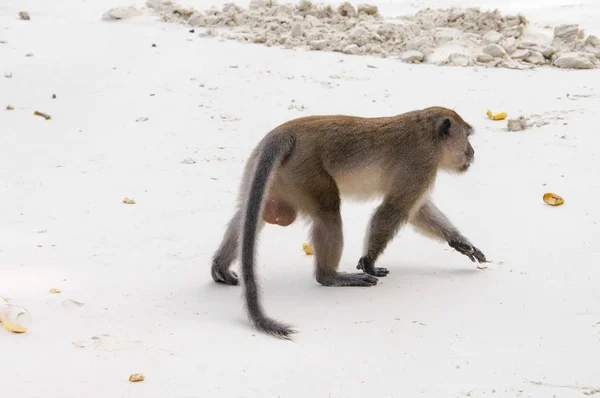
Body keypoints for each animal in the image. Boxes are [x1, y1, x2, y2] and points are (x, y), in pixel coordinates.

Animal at [211, 107, 488, 340]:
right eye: (467, 137)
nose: (472, 152)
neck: (429, 135)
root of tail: (285, 132)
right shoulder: (421, 162)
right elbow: (394, 209)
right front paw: (370, 261)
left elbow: (417, 211)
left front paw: (460, 242)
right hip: (305, 171)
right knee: (328, 211)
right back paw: (330, 276)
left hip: (269, 170)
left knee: (249, 215)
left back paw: (220, 267)